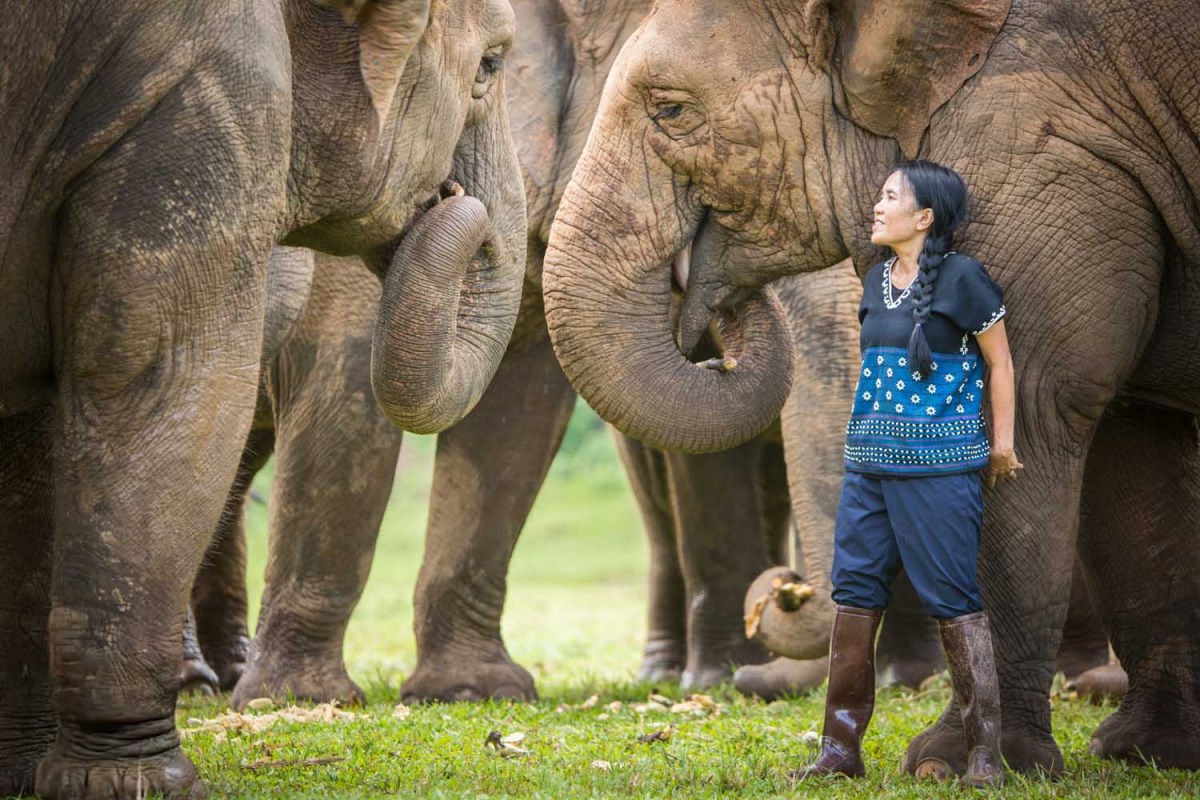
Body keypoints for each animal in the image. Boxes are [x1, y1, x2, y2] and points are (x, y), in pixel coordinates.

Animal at [0, 0, 527, 796]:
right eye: (491, 66)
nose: (458, 202)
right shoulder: (204, 93)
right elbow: (163, 383)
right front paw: (136, 782)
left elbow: (33, 430)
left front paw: (27, 773)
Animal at [543, 0, 1200, 776]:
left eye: (670, 110)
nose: (784, 588)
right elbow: (1134, 437)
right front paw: (1146, 753)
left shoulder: (1041, 145)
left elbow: (1031, 403)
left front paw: (958, 764)